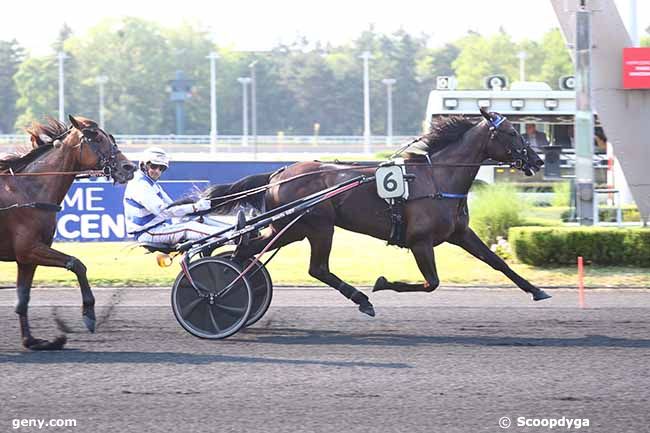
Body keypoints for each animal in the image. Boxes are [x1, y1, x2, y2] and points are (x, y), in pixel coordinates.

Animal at [0, 116, 134, 350]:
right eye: (97, 138)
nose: (129, 167)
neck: (29, 191)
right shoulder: (29, 248)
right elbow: (77, 264)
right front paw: (89, 314)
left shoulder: (27, 257)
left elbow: (23, 299)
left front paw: (32, 341)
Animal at [202, 109, 548, 316]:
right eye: (513, 133)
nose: (538, 160)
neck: (437, 179)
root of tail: (278, 174)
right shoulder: (420, 242)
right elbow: (431, 283)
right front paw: (381, 283)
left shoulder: (460, 233)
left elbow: (497, 262)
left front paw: (536, 290)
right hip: (317, 227)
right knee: (315, 268)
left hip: (291, 229)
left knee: (246, 250)